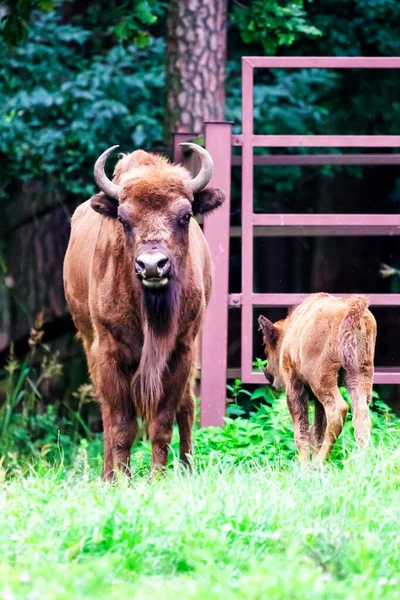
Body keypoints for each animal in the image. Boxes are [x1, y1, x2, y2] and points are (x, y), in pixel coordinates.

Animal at [63, 144, 225, 478]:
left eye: (185, 215)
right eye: (123, 219)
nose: (152, 265)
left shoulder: (181, 352)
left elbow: (162, 424)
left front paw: (157, 478)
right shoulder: (108, 352)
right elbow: (121, 426)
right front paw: (119, 479)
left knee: (187, 408)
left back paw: (187, 469)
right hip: (89, 342)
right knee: (107, 414)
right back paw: (107, 474)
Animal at [258, 294, 376, 464]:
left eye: (267, 348)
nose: (267, 373)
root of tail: (351, 307)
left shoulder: (294, 387)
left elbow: (302, 432)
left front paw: (305, 465)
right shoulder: (318, 402)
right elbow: (317, 431)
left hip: (321, 380)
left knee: (338, 410)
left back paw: (318, 463)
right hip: (359, 373)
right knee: (361, 414)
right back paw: (362, 461)